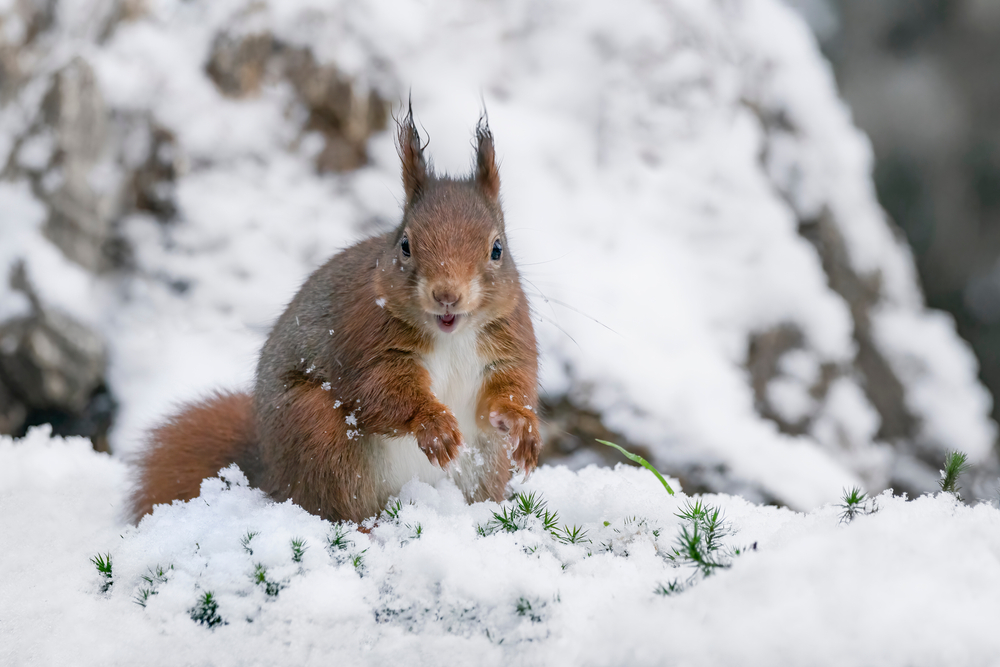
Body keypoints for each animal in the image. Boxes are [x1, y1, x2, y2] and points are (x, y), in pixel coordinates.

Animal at [132, 109, 544, 524]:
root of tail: (271, 473)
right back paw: (365, 528)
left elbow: (509, 391)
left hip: (485, 463)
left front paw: (522, 427)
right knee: (334, 507)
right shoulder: (366, 340)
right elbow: (380, 391)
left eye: (497, 249)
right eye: (405, 245)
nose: (447, 296)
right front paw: (434, 425)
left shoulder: (509, 343)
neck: (452, 336)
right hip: (319, 432)